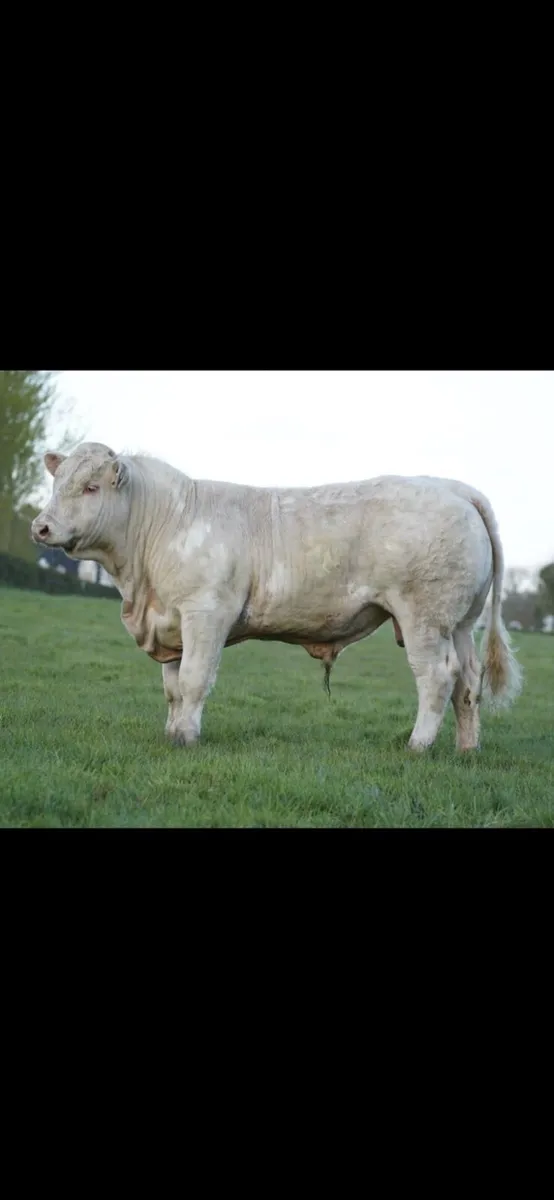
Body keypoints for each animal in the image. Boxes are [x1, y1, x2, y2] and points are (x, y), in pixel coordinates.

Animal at [31, 442, 522, 753]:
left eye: (91, 487)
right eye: (58, 484)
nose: (41, 526)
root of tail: (454, 488)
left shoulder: (205, 614)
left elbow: (193, 680)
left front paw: (187, 737)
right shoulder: (170, 621)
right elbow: (172, 688)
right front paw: (172, 732)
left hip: (424, 618)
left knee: (437, 678)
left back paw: (418, 745)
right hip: (459, 623)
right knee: (467, 683)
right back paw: (466, 749)